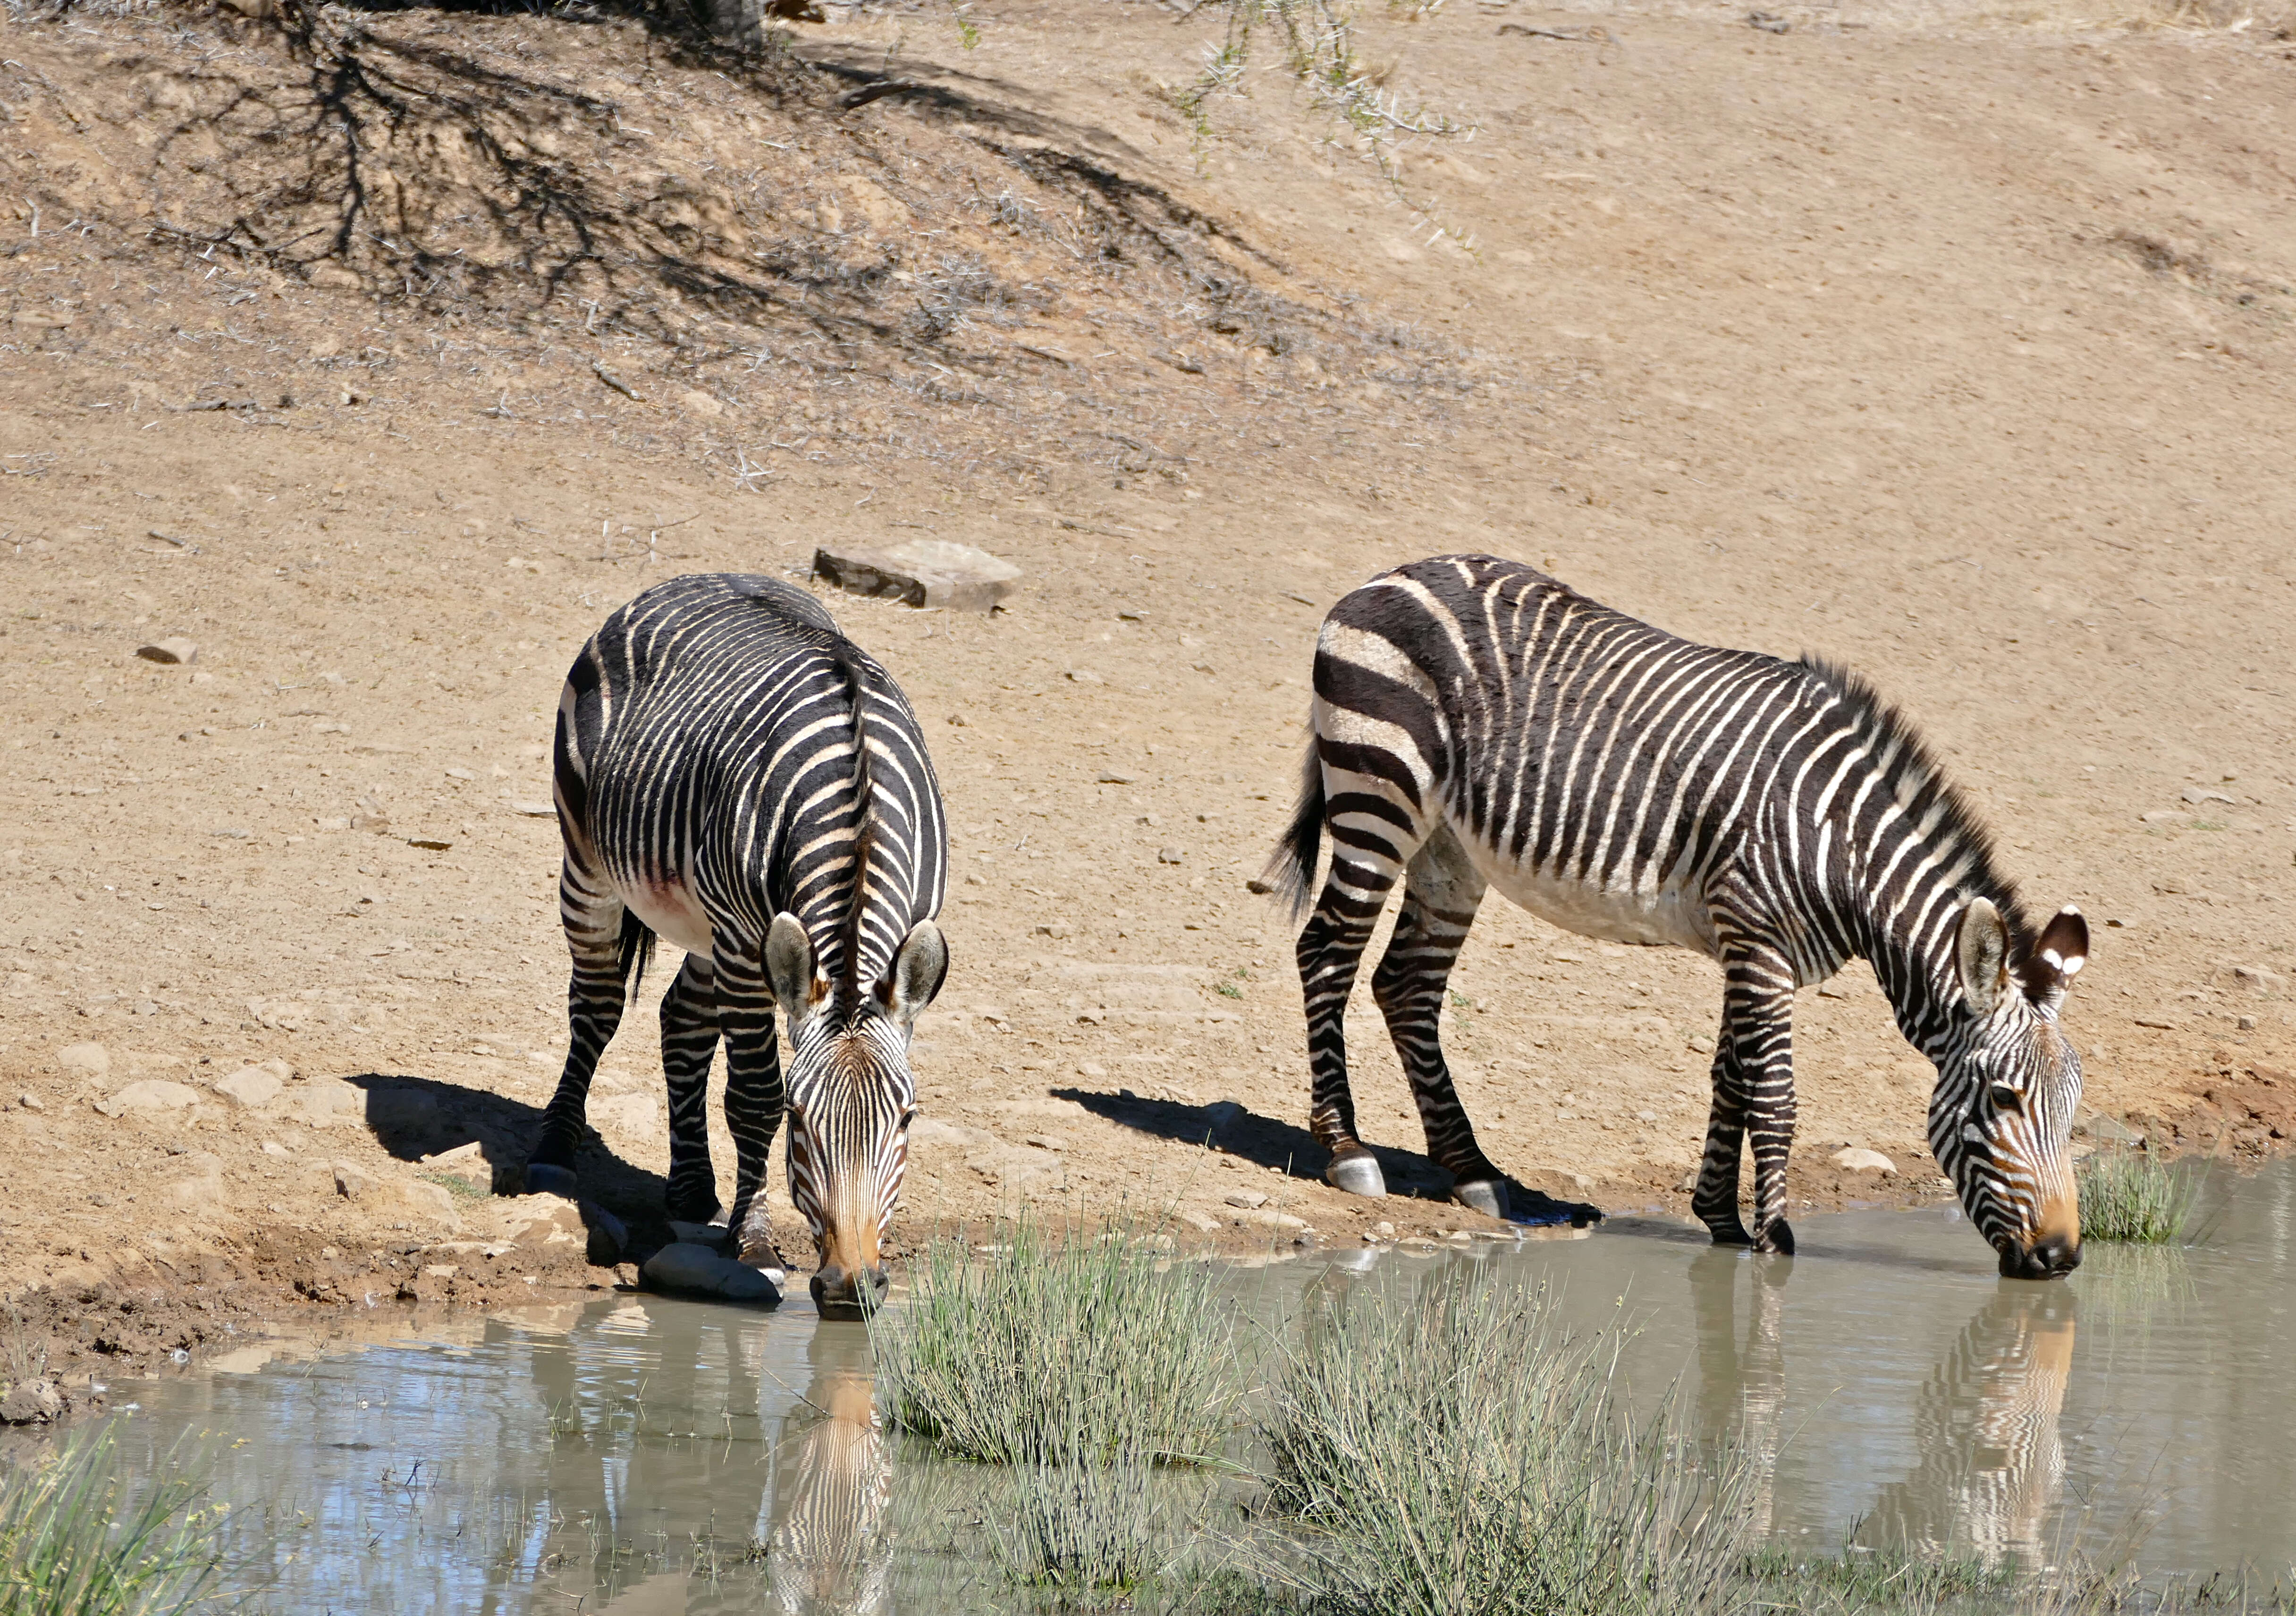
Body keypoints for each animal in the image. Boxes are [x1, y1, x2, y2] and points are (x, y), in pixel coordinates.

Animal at [525, 574, 941, 1322]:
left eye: (907, 1118)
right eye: (799, 1119)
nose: (850, 1291)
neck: (858, 806)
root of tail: (699, 577)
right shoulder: (749, 944)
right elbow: (752, 1095)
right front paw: (754, 1243)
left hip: (705, 925)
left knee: (679, 1018)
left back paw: (692, 1190)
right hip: (591, 861)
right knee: (597, 1004)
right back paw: (555, 1147)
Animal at [1276, 555, 2103, 1276]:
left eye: (2073, 1108)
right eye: (2003, 1098)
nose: (2061, 1259)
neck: (1839, 840)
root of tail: (1395, 572)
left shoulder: (1749, 946)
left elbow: (1730, 1074)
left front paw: (1723, 1219)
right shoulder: (1758, 939)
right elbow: (1776, 1096)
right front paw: (1773, 1241)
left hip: (1450, 848)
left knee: (1406, 984)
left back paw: (1474, 1170)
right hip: (1378, 790)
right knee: (1328, 950)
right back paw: (1348, 1150)